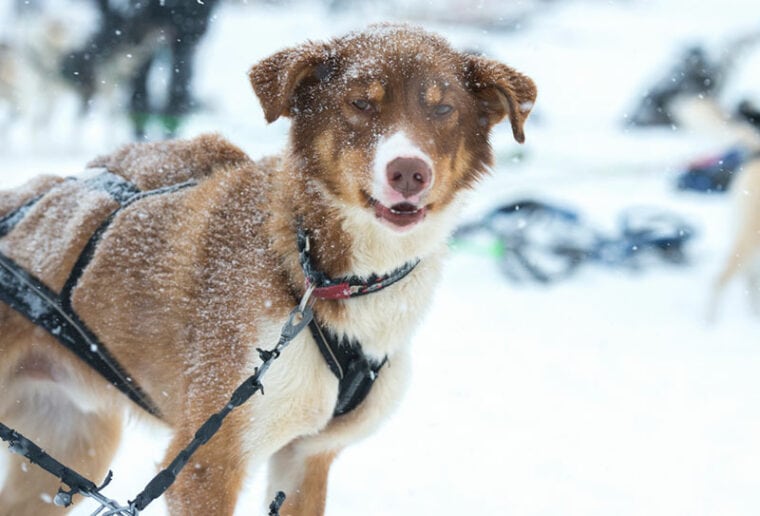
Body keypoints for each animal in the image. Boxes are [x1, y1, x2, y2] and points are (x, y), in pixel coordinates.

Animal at [0, 25, 536, 516]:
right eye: (360, 103)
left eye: (443, 109)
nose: (409, 171)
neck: (312, 268)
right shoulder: (205, 463)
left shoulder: (307, 458)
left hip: (71, 448)